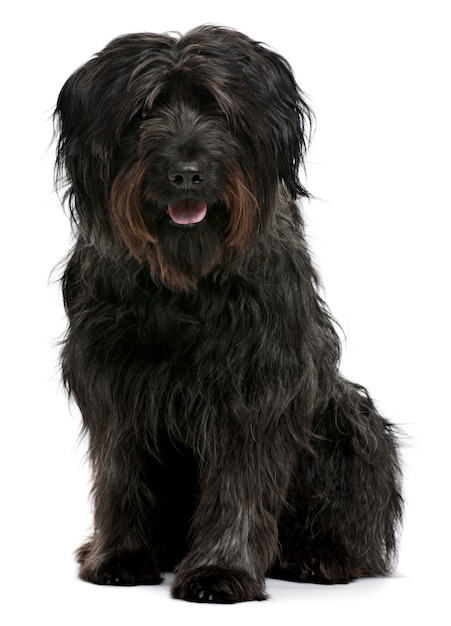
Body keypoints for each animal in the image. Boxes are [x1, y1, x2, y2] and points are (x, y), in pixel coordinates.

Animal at [54, 24, 404, 600]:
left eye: (217, 109)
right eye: (143, 112)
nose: (186, 175)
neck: (185, 282)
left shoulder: (256, 385)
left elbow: (241, 480)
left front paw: (221, 571)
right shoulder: (114, 379)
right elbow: (121, 471)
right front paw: (120, 556)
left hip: (352, 422)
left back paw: (321, 556)